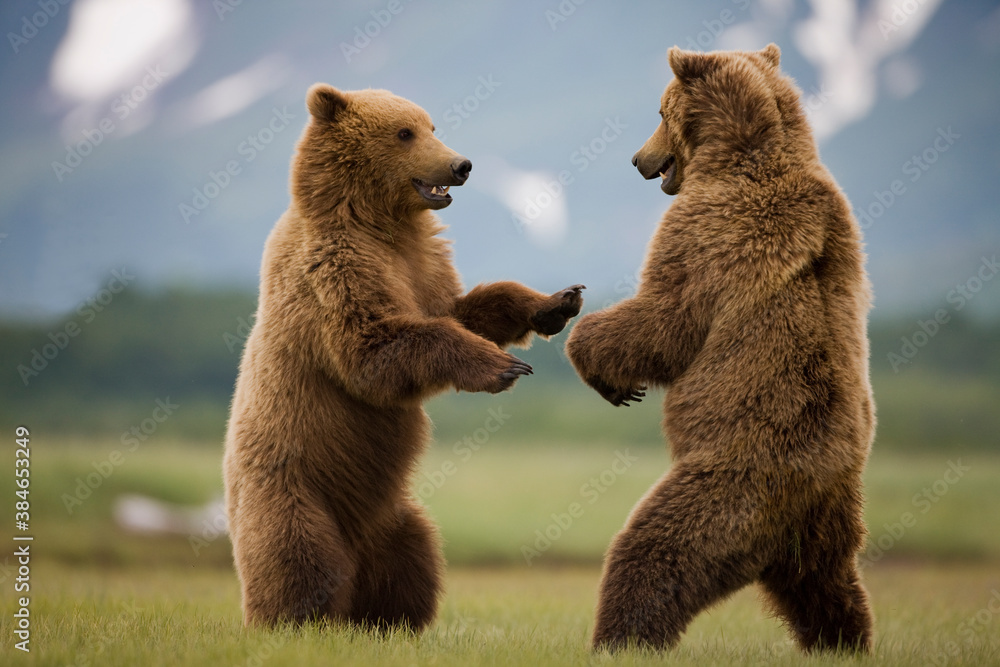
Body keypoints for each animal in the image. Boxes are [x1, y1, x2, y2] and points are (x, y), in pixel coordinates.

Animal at [223, 84, 584, 630]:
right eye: (404, 132)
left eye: (432, 126)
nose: (461, 164)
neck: (377, 222)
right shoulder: (336, 270)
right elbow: (376, 348)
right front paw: (504, 367)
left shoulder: (423, 265)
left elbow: (464, 309)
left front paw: (557, 301)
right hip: (291, 489)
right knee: (299, 558)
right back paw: (296, 621)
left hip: (391, 512)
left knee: (413, 557)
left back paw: (390, 620)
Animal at [565, 44, 875, 653]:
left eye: (659, 111)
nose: (637, 159)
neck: (737, 153)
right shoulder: (840, 220)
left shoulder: (712, 228)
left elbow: (666, 318)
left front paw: (603, 369)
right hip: (830, 514)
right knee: (826, 581)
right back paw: (845, 641)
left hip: (736, 478)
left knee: (657, 549)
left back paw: (620, 639)